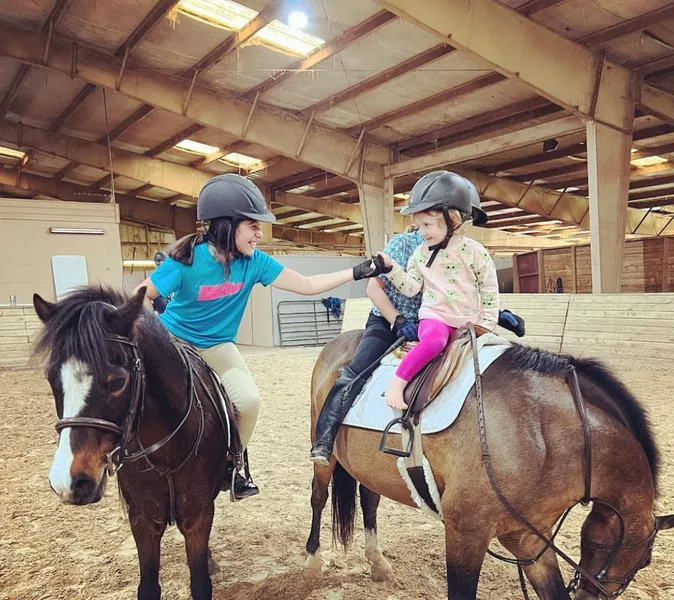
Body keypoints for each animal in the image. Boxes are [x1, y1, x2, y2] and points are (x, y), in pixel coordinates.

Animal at [34, 286, 239, 600]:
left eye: (117, 382)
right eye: (51, 378)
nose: (67, 482)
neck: (166, 451)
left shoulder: (198, 514)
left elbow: (201, 583)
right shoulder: (142, 518)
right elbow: (149, 587)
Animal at [306, 330, 672, 600]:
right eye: (645, 561)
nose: (590, 595)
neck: (543, 432)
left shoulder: (527, 538)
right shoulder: (466, 532)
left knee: (369, 500)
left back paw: (378, 564)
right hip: (324, 456)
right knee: (319, 497)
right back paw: (312, 563)